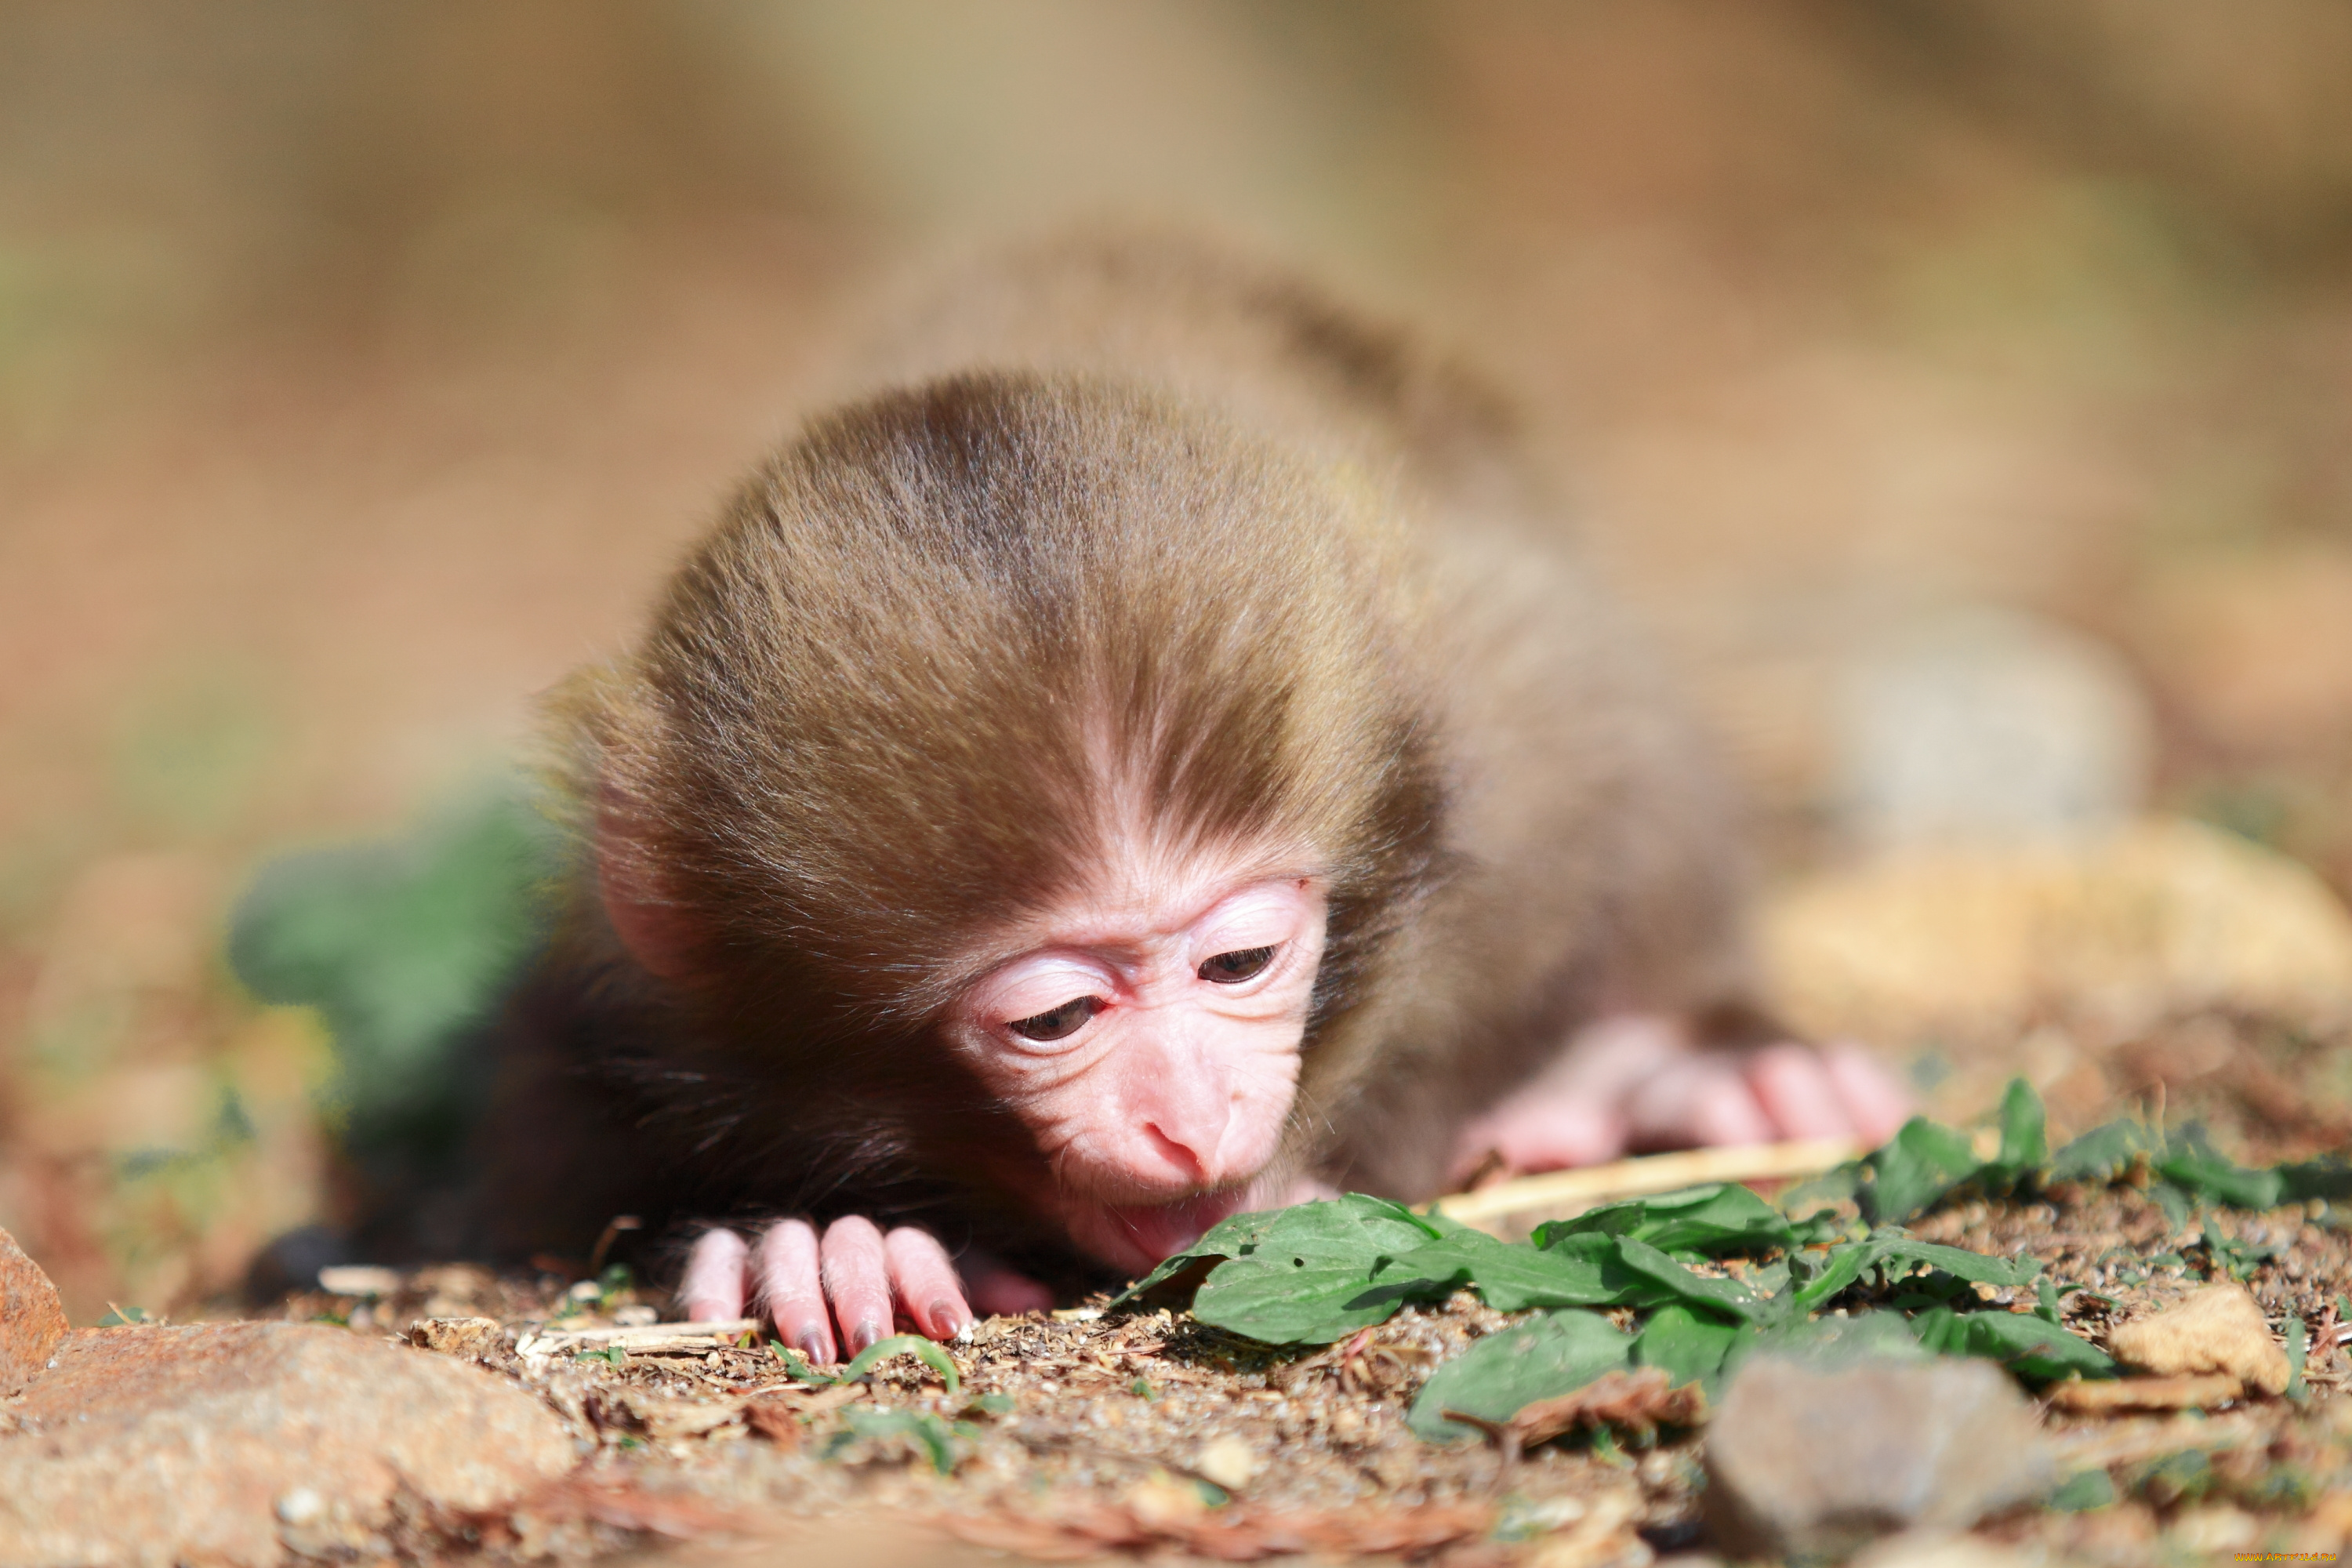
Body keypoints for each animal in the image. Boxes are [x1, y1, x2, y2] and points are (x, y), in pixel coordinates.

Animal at [479, 231, 1908, 1365]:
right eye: (1056, 1019)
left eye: (1239, 964)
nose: (1192, 1120)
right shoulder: (616, 973)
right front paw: (838, 1240)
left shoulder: (1520, 730)